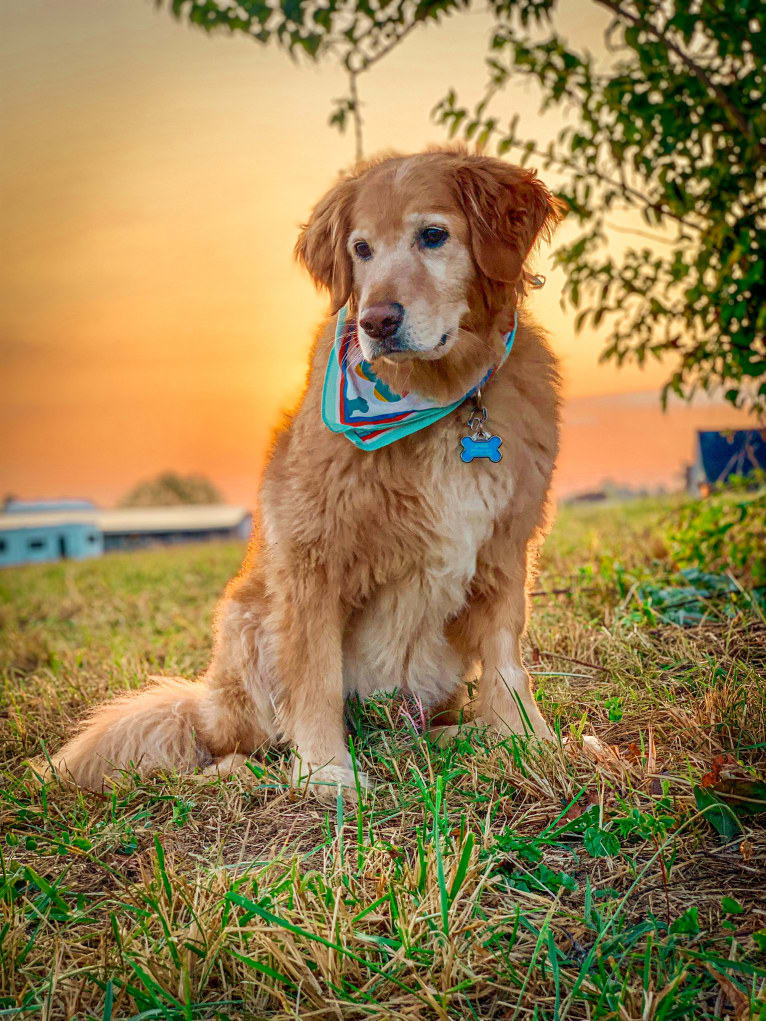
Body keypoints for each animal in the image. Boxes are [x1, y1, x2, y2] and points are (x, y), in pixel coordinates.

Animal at [48, 148, 563, 792]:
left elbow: (506, 662)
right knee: (229, 742)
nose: (376, 322)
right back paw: (244, 771)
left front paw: (532, 742)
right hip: (247, 626)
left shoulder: (502, 550)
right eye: (361, 249)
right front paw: (325, 774)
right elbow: (315, 677)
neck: (441, 397)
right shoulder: (312, 556)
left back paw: (455, 735)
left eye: (433, 235)